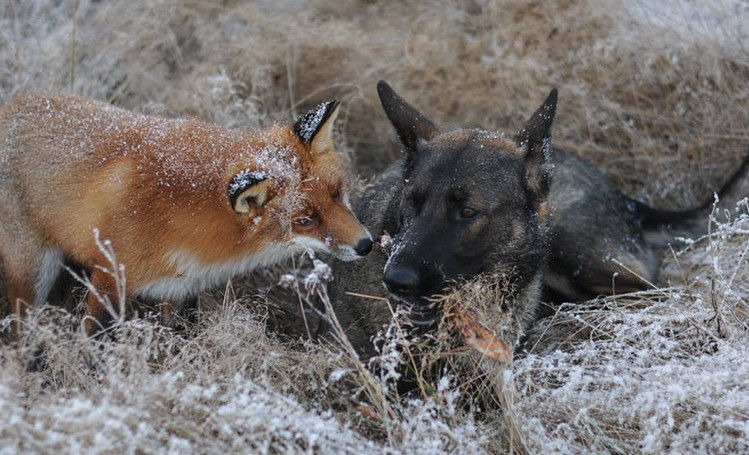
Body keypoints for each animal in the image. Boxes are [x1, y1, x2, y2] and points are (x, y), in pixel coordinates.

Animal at [0, 94, 372, 336]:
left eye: (337, 194)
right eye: (305, 220)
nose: (366, 244)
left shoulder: (182, 289)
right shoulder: (109, 275)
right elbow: (93, 337)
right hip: (32, 275)